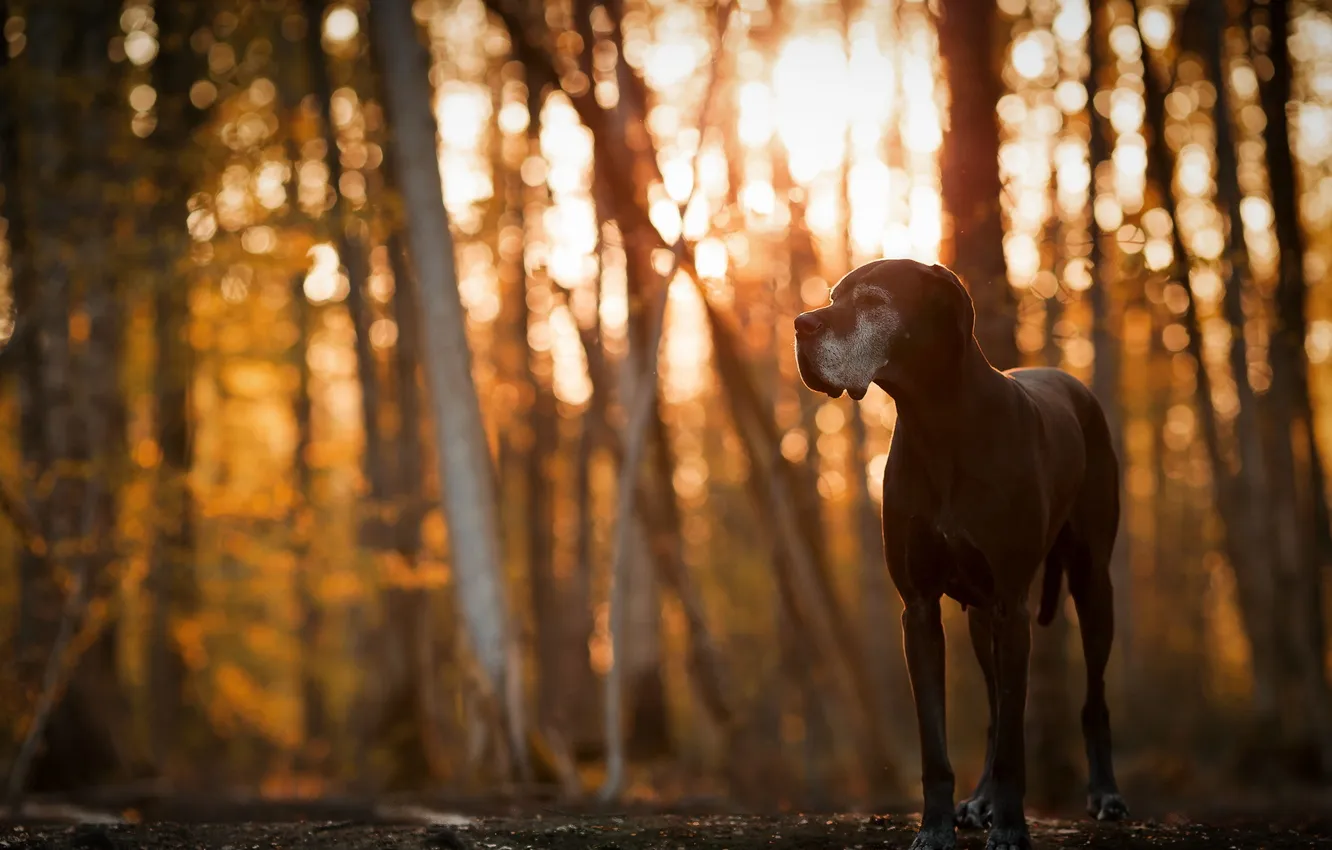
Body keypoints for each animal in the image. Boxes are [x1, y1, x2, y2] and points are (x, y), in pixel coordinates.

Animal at [793, 259, 1129, 850]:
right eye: (833, 296)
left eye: (873, 300)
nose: (799, 325)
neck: (939, 425)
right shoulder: (921, 610)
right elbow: (939, 742)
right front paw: (937, 827)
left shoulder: (1012, 607)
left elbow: (1015, 743)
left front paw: (1012, 828)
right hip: (979, 616)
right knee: (996, 710)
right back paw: (979, 802)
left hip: (1091, 585)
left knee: (1093, 698)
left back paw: (1104, 794)